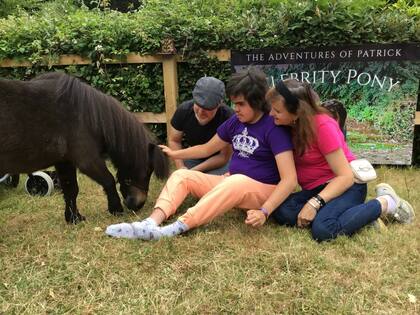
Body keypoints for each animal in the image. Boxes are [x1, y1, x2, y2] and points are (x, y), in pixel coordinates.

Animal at [1, 72, 171, 223]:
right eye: (148, 170)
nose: (137, 204)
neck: (86, 116)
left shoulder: (65, 162)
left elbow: (71, 189)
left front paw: (74, 218)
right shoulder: (88, 161)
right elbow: (108, 181)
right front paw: (116, 209)